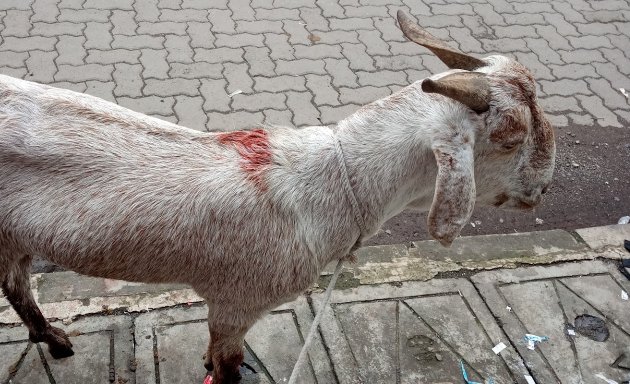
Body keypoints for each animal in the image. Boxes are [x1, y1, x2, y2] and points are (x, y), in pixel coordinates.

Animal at [0, 12, 552, 384]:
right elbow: (229, 365)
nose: (544, 188)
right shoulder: (235, 301)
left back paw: (54, 342)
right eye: (511, 136)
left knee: (16, 287)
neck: (325, 187)